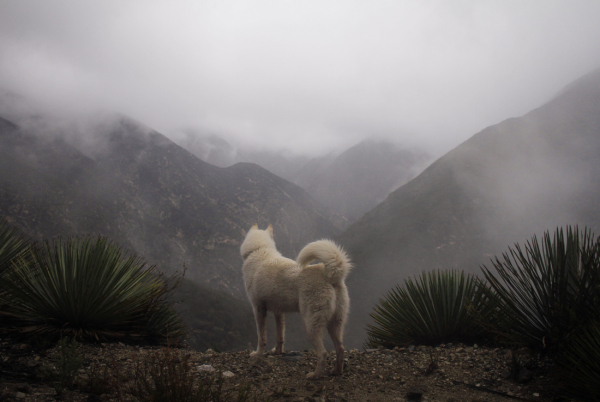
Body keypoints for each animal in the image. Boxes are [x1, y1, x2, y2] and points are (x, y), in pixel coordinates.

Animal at [240, 223, 352, 380]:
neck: (259, 249)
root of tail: (330, 275)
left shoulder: (259, 309)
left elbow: (261, 338)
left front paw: (257, 354)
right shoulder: (278, 312)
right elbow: (280, 335)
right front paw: (277, 352)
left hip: (311, 325)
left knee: (323, 353)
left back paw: (315, 375)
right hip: (335, 323)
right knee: (340, 349)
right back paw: (336, 371)